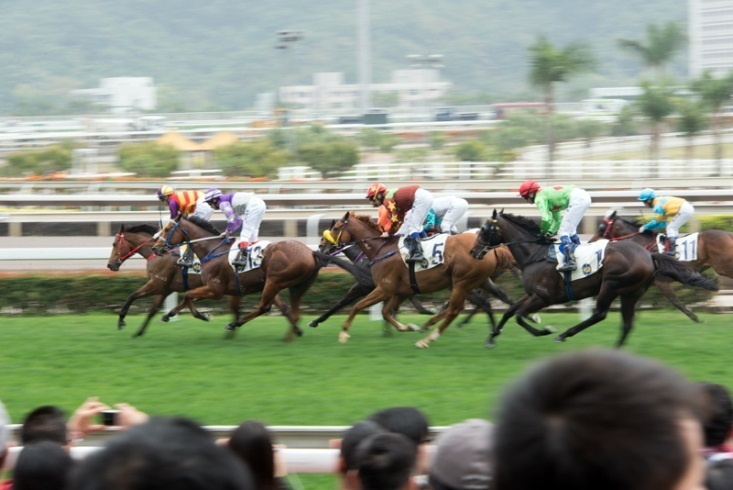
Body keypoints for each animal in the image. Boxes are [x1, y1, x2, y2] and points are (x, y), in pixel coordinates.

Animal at [107, 225, 242, 336]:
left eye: (114, 244)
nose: (110, 265)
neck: (157, 254)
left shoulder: (157, 284)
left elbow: (132, 295)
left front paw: (121, 321)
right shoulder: (165, 289)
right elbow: (152, 310)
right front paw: (139, 332)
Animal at [150, 215, 322, 340]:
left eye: (167, 229)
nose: (155, 248)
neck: (212, 250)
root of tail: (311, 252)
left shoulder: (216, 289)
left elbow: (187, 295)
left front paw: (203, 316)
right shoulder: (222, 289)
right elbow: (188, 297)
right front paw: (168, 314)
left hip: (274, 281)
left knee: (264, 307)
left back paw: (233, 324)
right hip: (295, 286)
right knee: (292, 311)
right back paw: (292, 334)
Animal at [320, 212, 520, 346]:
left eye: (335, 228)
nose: (321, 246)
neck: (381, 250)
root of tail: (490, 250)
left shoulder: (384, 288)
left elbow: (357, 306)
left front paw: (343, 334)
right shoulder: (401, 291)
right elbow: (385, 312)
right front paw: (407, 327)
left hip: (462, 282)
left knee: (456, 309)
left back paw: (428, 338)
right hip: (476, 281)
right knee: (492, 299)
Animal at [468, 211, 716, 348]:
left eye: (485, 229)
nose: (473, 251)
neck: (534, 255)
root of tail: (649, 254)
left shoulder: (543, 297)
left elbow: (520, 315)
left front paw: (545, 330)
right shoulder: (532, 295)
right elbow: (511, 311)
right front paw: (492, 337)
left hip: (612, 284)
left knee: (600, 314)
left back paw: (565, 335)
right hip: (631, 292)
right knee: (627, 323)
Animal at [588, 210, 732, 322]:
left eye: (601, 227)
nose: (590, 241)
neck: (642, 244)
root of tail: (728, 234)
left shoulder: (660, 280)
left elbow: (675, 302)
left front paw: (695, 318)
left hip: (724, 267)